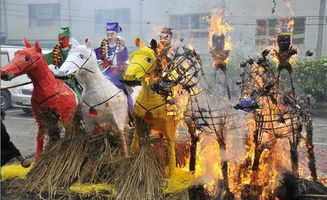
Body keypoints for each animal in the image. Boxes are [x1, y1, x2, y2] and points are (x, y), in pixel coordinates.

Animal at [123, 39, 179, 177]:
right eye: (131, 57)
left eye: (148, 59)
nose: (129, 77)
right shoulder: (140, 121)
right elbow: (137, 143)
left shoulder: (168, 127)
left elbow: (170, 151)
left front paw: (171, 178)